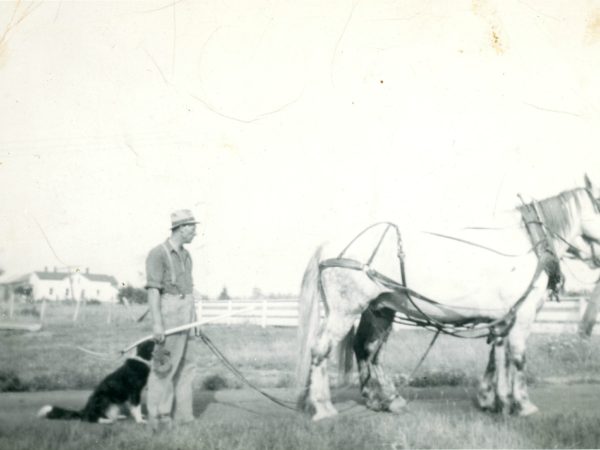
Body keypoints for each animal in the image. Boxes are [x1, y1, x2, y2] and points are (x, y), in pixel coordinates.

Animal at [298, 177, 600, 422]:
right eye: (598, 205)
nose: (594, 261)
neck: (531, 243)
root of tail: (330, 246)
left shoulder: (503, 317)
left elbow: (497, 356)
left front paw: (493, 400)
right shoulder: (522, 315)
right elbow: (516, 357)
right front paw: (523, 405)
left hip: (379, 309)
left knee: (367, 349)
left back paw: (385, 400)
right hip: (345, 310)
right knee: (321, 350)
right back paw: (322, 407)